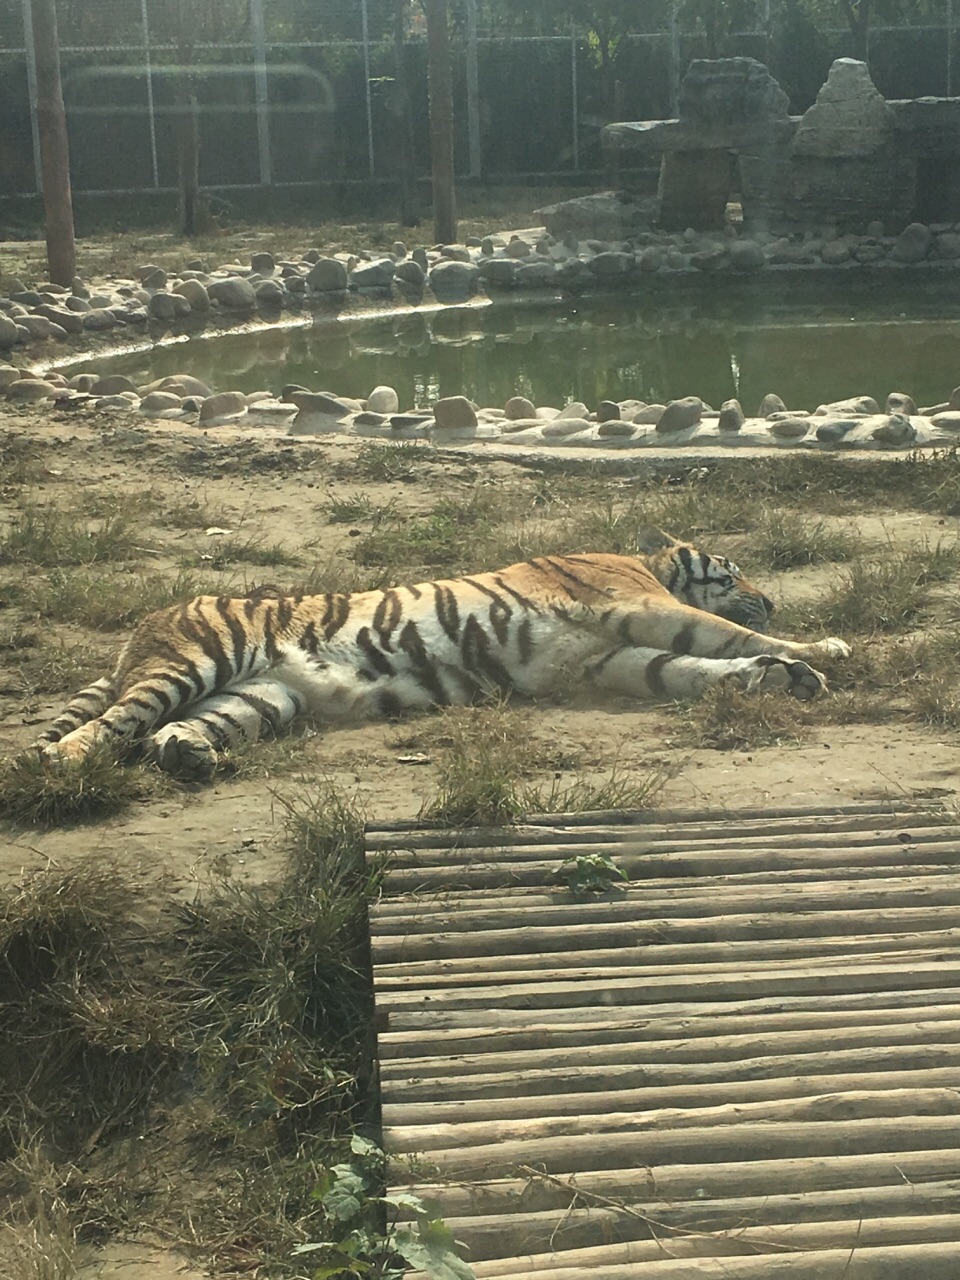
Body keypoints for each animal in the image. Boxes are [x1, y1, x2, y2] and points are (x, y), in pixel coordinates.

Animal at [35, 527, 849, 778]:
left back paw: (189, 756)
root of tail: (149, 619)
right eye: (733, 571)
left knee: (173, 731)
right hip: (197, 661)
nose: (774, 596)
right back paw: (65, 765)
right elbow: (725, 637)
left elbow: (689, 668)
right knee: (99, 729)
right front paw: (821, 647)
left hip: (258, 695)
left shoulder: (600, 660)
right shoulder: (639, 606)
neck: (639, 562)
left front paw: (788, 678)